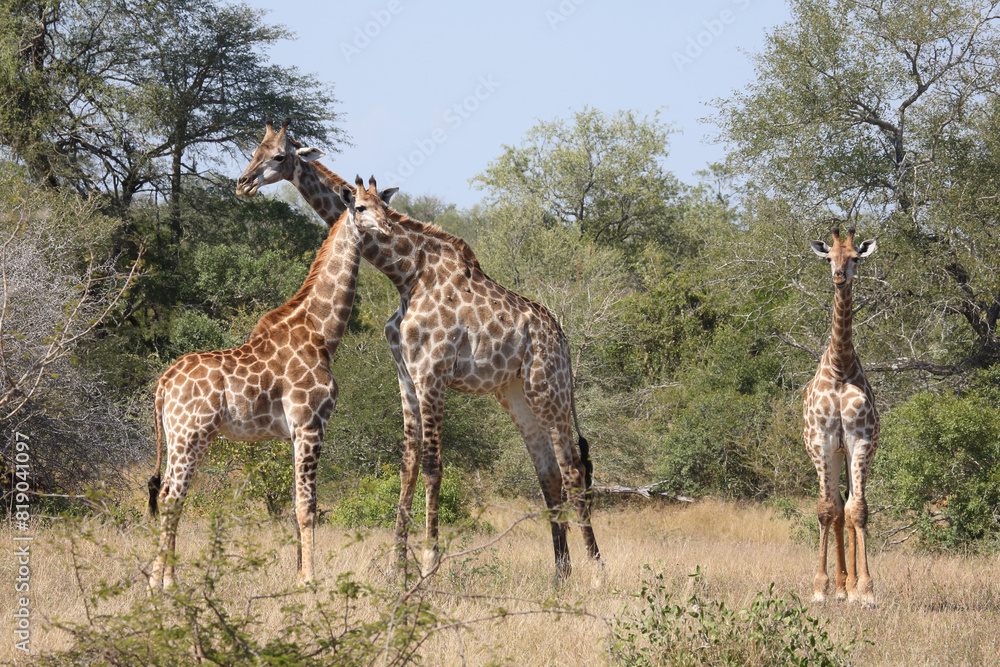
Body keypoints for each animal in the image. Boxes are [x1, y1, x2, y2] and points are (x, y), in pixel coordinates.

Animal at [147, 121, 363, 588]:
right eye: (365, 206)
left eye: (277, 155)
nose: (243, 183)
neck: (321, 332)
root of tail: (162, 384)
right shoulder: (311, 423)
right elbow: (306, 506)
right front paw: (309, 583)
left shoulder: (294, 432)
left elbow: (299, 505)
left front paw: (298, 575)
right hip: (192, 434)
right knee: (172, 497)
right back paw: (163, 584)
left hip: (176, 436)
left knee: (170, 493)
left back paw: (163, 581)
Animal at [237, 132, 600, 580]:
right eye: (254, 150)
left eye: (279, 156)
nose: (243, 183)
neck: (407, 273)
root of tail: (561, 336)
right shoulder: (406, 373)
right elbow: (408, 463)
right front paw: (397, 567)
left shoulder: (433, 372)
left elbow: (432, 465)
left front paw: (428, 564)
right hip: (514, 392)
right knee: (548, 473)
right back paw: (560, 573)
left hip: (549, 389)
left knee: (573, 469)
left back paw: (596, 571)